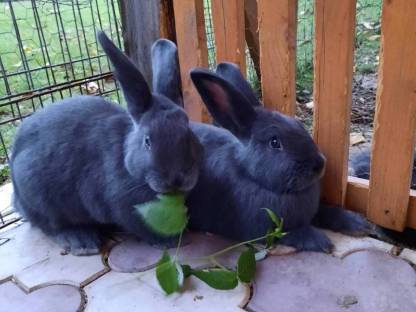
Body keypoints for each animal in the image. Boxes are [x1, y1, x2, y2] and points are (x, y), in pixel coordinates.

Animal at [10, 32, 203, 256]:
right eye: (147, 141)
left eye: (188, 130)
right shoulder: (123, 206)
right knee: (51, 226)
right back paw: (82, 242)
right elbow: (144, 227)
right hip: (39, 196)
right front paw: (173, 240)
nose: (176, 180)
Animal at [152, 40, 370, 252]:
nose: (319, 164)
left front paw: (358, 223)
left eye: (299, 125)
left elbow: (326, 211)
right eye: (274, 142)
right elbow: (290, 233)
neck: (251, 176)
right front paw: (321, 241)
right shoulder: (262, 229)